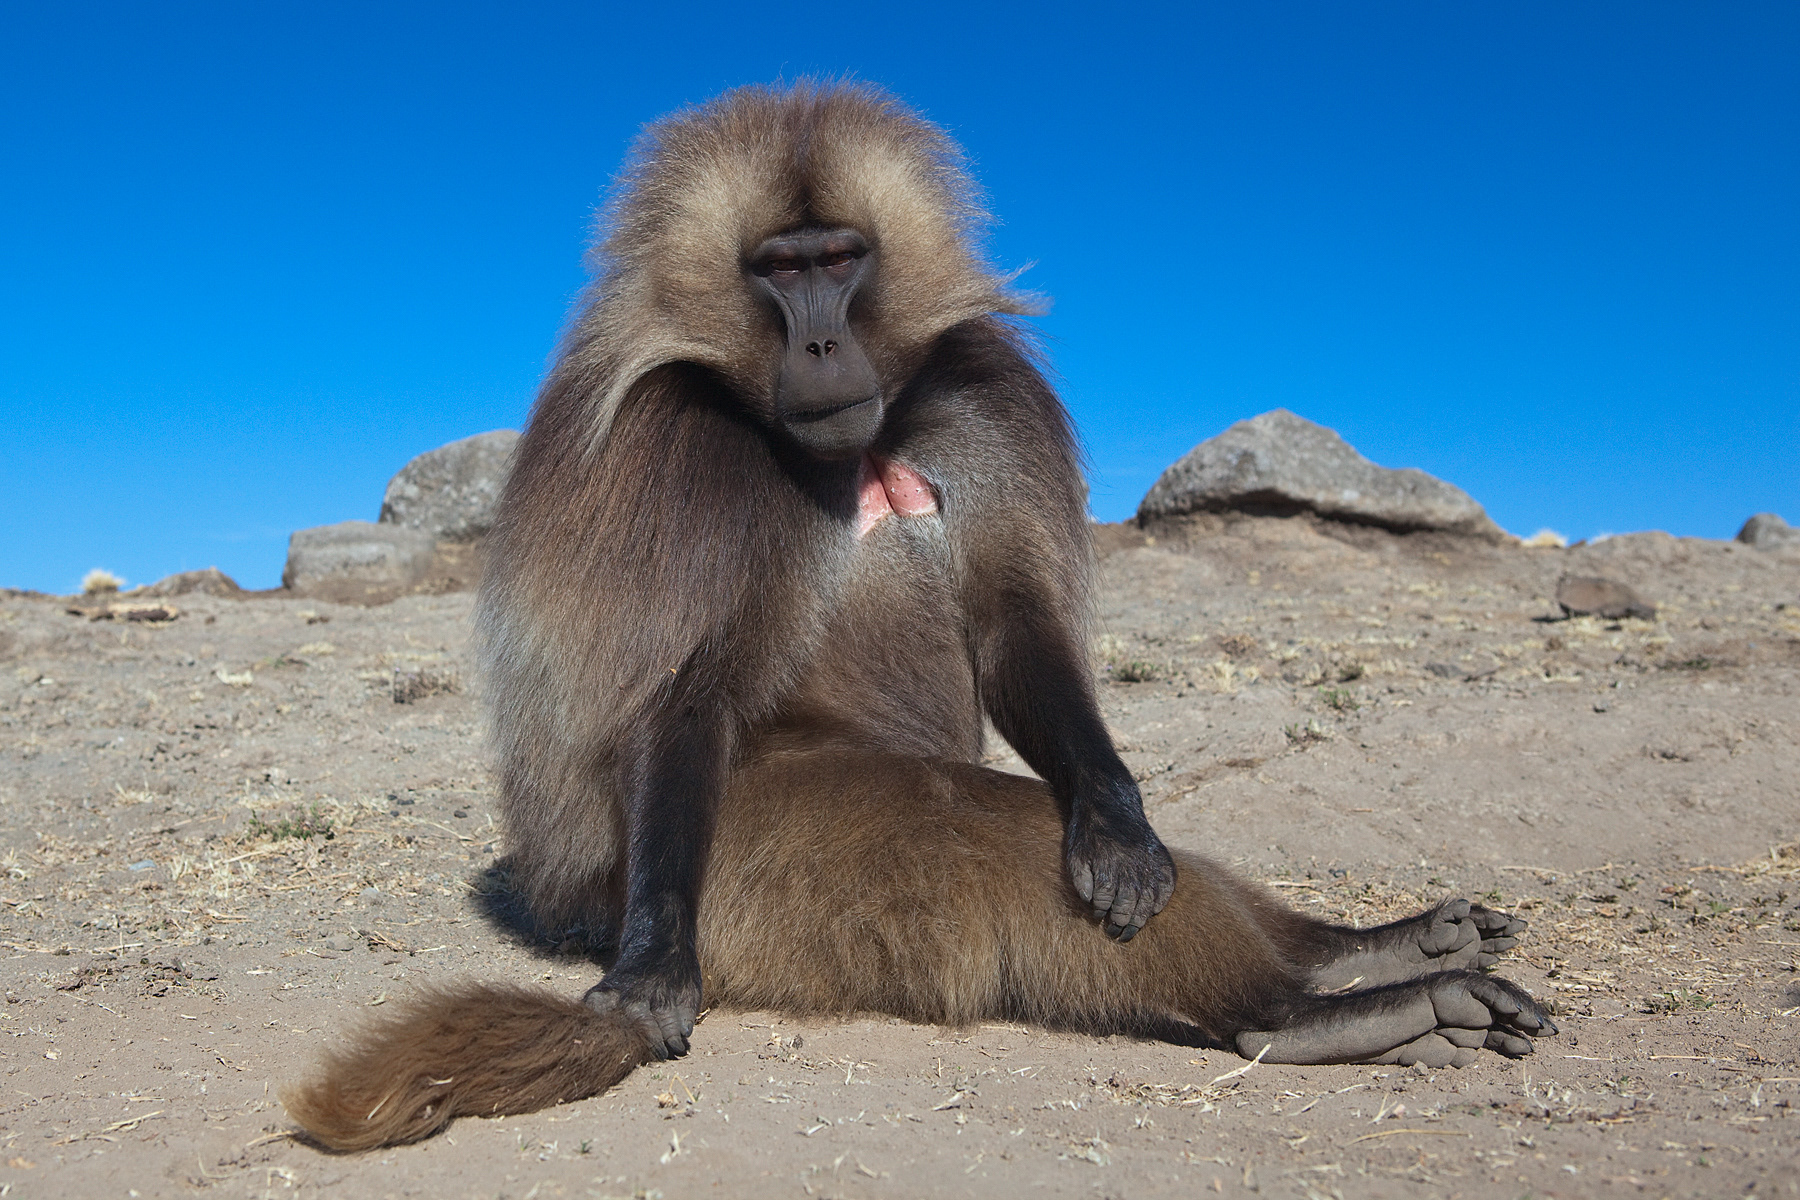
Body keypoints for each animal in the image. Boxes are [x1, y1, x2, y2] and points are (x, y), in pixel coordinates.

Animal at [282, 82, 1556, 1152]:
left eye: (840, 259)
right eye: (777, 268)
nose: (820, 340)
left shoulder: (979, 403)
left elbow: (1014, 627)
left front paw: (1117, 824)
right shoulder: (676, 458)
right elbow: (684, 693)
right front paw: (649, 974)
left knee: (1137, 866)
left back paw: (1378, 950)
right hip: (776, 869)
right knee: (1010, 845)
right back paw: (1321, 1012)